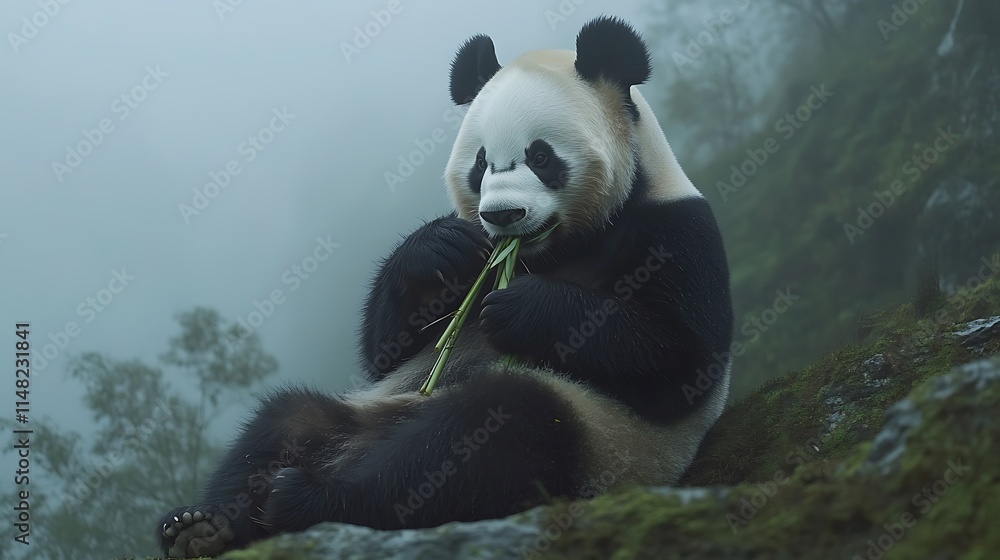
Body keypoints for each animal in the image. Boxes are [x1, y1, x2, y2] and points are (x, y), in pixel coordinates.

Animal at [157, 16, 732, 558]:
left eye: (541, 156)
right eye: (481, 163)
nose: (502, 215)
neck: (557, 252)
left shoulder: (677, 231)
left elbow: (682, 360)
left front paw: (522, 309)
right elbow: (389, 349)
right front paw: (441, 246)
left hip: (598, 439)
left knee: (479, 439)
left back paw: (310, 499)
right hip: (373, 407)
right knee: (286, 420)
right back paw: (204, 528)